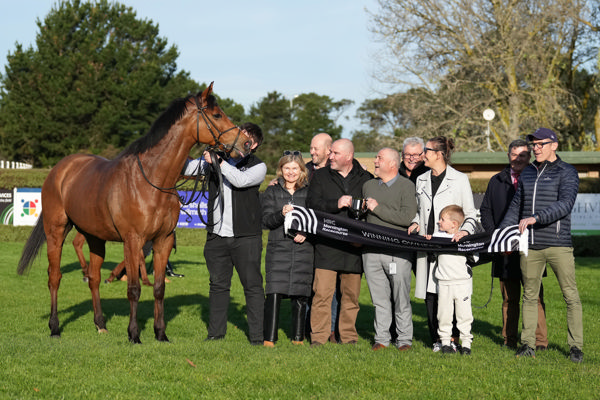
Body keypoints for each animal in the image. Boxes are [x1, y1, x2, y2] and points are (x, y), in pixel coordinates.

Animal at [17, 82, 250, 344]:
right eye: (217, 115)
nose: (245, 143)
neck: (152, 180)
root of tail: (60, 169)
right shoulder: (133, 241)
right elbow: (134, 289)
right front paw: (134, 335)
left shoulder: (163, 241)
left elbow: (158, 288)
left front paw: (161, 333)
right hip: (56, 231)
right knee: (55, 277)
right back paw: (55, 327)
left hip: (95, 237)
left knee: (94, 278)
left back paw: (100, 324)